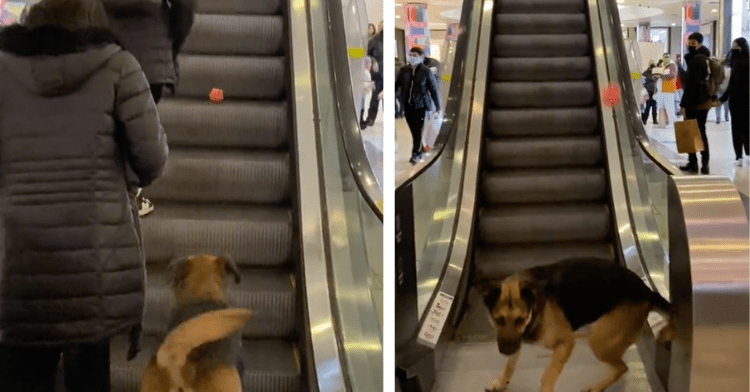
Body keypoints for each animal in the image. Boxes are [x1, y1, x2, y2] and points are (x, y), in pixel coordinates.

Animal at [478, 258, 680, 392]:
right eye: (498, 320)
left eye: (520, 319)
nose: (506, 351)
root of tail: (648, 292)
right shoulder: (516, 341)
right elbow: (510, 366)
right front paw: (502, 382)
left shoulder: (566, 343)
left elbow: (548, 375)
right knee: (617, 364)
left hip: (598, 340)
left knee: (622, 367)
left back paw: (596, 387)